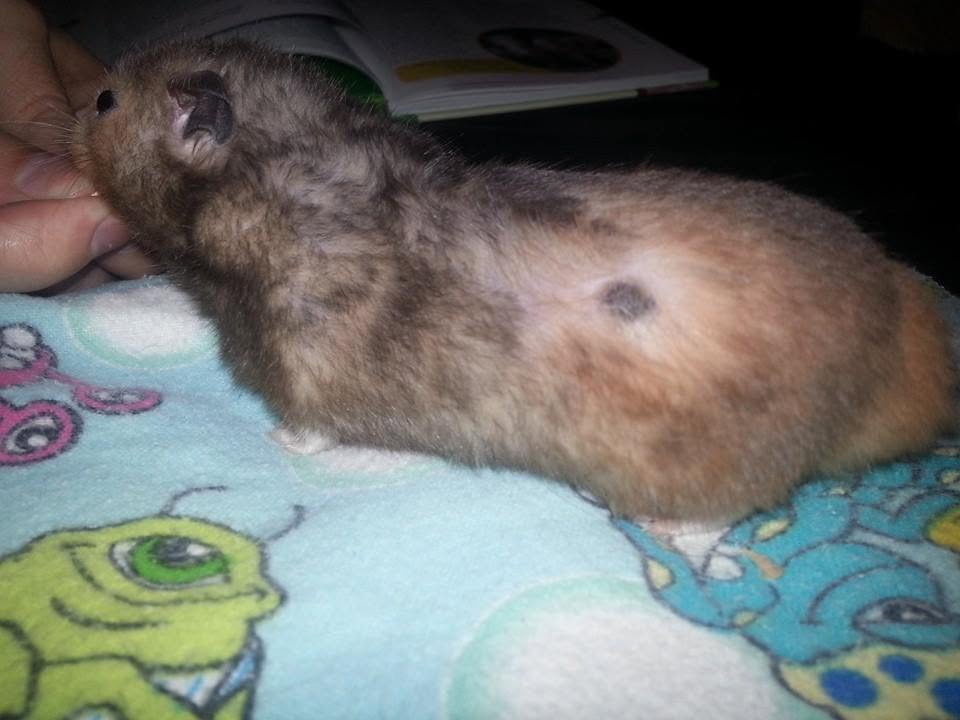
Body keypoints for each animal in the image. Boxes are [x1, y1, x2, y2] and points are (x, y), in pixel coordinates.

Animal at [71, 39, 956, 522]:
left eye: (106, 99)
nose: (73, 113)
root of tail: (900, 363)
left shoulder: (304, 370)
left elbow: (308, 425)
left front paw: (276, 441)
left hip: (713, 466)